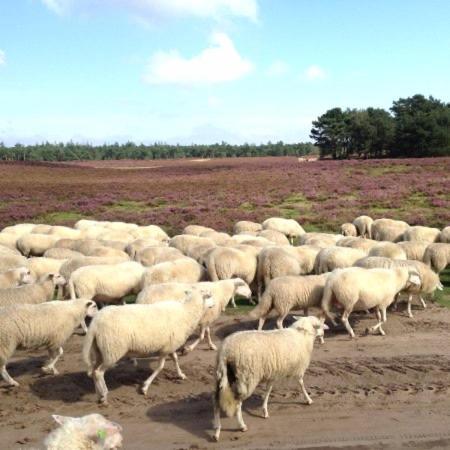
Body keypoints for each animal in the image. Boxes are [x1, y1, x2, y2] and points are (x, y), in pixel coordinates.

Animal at [83, 290, 215, 402]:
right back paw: (104, 395)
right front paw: (145, 387)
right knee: (99, 372)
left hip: (100, 350)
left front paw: (181, 375)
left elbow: (175, 359)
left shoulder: (170, 345)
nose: (214, 304)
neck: (187, 312)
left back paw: (98, 394)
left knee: (94, 371)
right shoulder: (166, 349)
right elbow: (160, 367)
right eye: (208, 296)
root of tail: (95, 323)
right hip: (112, 350)